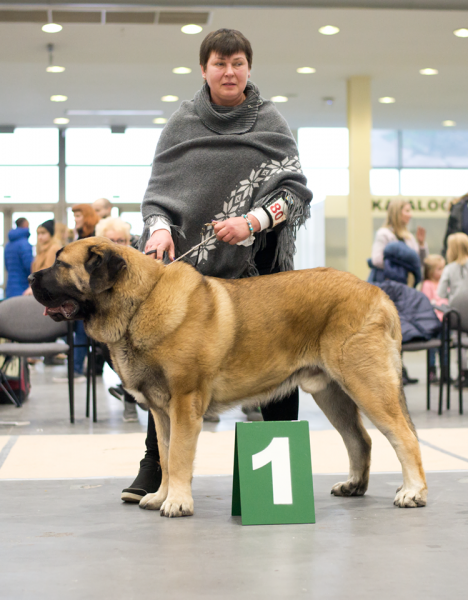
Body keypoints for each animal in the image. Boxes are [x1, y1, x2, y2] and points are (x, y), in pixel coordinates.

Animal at [30, 237, 428, 516]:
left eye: (61, 264)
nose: (32, 276)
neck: (140, 302)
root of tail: (379, 293)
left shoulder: (184, 403)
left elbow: (178, 456)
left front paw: (177, 502)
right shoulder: (161, 411)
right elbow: (165, 452)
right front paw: (160, 495)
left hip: (366, 384)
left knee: (404, 436)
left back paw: (413, 492)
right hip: (331, 393)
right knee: (360, 439)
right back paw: (354, 486)